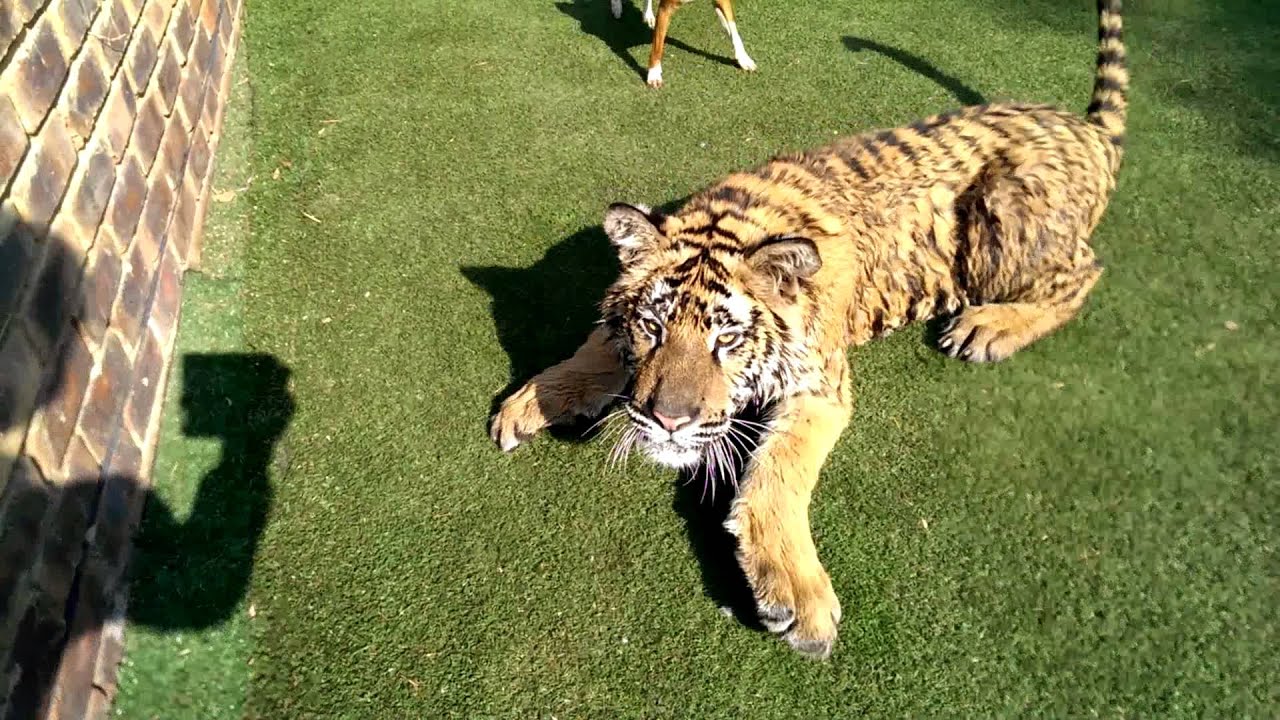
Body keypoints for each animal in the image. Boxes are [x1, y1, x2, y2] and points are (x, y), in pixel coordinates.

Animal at [490, 0, 1128, 659]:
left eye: (727, 340)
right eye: (652, 326)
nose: (670, 421)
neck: (736, 217)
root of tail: (1084, 128)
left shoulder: (821, 387)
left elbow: (779, 471)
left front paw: (799, 597)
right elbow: (594, 349)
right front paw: (529, 403)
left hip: (1003, 220)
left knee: (1085, 272)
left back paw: (988, 327)